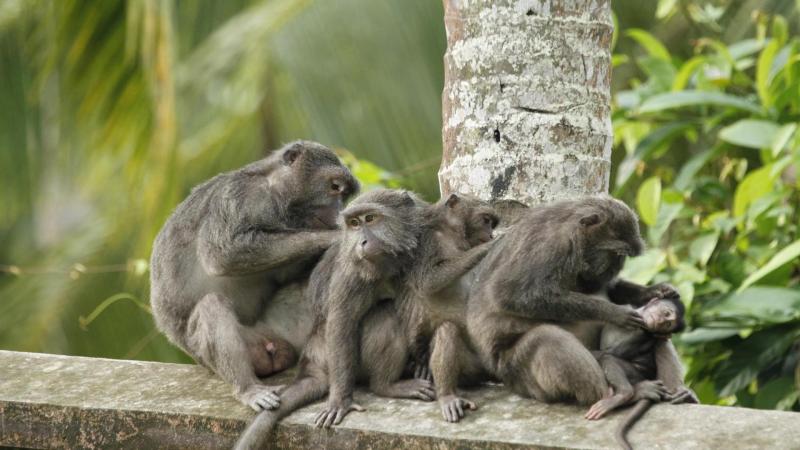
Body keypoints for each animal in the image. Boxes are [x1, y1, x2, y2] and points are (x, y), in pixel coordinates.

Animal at [149, 141, 359, 411]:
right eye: (335, 188)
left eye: (344, 194)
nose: (339, 210)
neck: (276, 194)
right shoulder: (241, 195)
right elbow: (222, 254)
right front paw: (337, 237)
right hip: (218, 350)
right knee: (211, 305)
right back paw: (247, 388)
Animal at [234, 189, 435, 450]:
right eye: (354, 224)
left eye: (370, 219)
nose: (362, 243)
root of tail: (313, 355)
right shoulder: (351, 269)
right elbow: (341, 322)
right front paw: (340, 401)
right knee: (387, 313)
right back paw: (386, 385)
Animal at [397, 193, 499, 422]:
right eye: (486, 220)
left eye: (491, 222)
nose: (490, 234)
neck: (452, 235)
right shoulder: (426, 241)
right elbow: (428, 280)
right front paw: (488, 247)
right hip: (471, 368)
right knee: (447, 331)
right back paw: (447, 396)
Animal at [466, 195, 693, 407]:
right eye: (616, 253)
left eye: (623, 257)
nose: (616, 268)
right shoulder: (551, 246)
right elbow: (510, 295)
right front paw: (614, 312)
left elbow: (607, 288)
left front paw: (656, 290)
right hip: (517, 374)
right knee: (547, 337)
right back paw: (620, 396)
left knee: (661, 339)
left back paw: (679, 393)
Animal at [584, 296, 687, 450]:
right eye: (666, 314)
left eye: (667, 324)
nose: (660, 321)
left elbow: (613, 352)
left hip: (635, 374)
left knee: (609, 358)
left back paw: (623, 394)